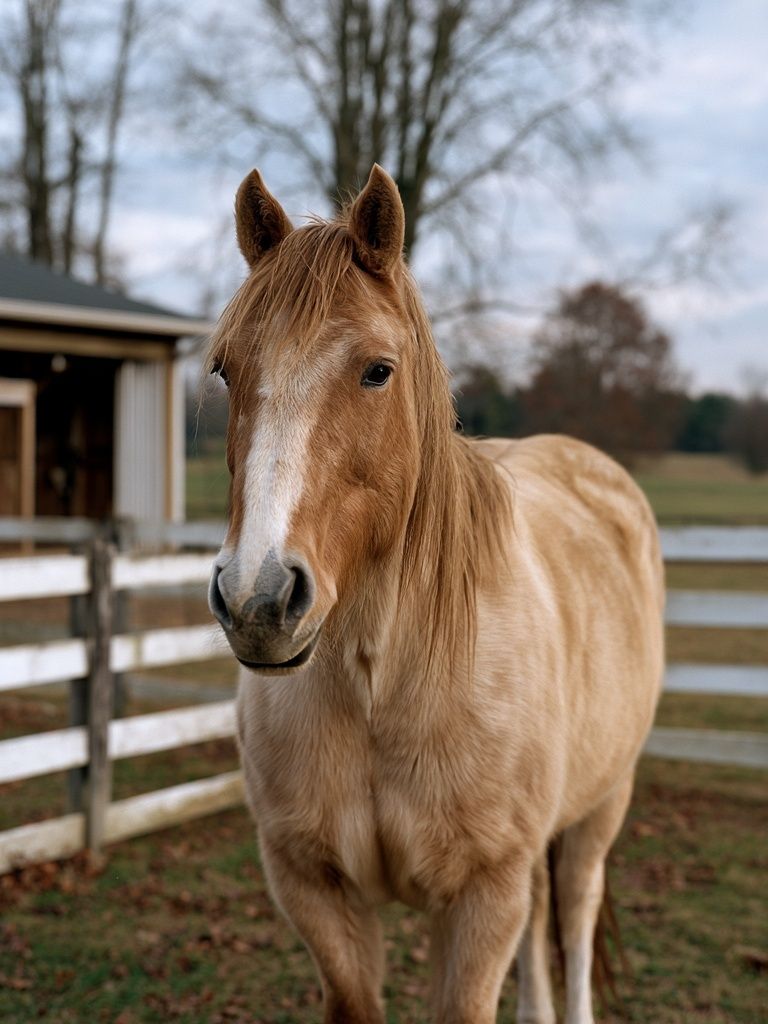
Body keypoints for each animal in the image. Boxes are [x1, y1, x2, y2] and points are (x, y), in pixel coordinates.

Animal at [207, 164, 665, 1024]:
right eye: (226, 370)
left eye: (377, 369)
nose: (258, 599)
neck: (383, 684)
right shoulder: (315, 889)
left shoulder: (483, 895)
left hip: (599, 809)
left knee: (576, 914)